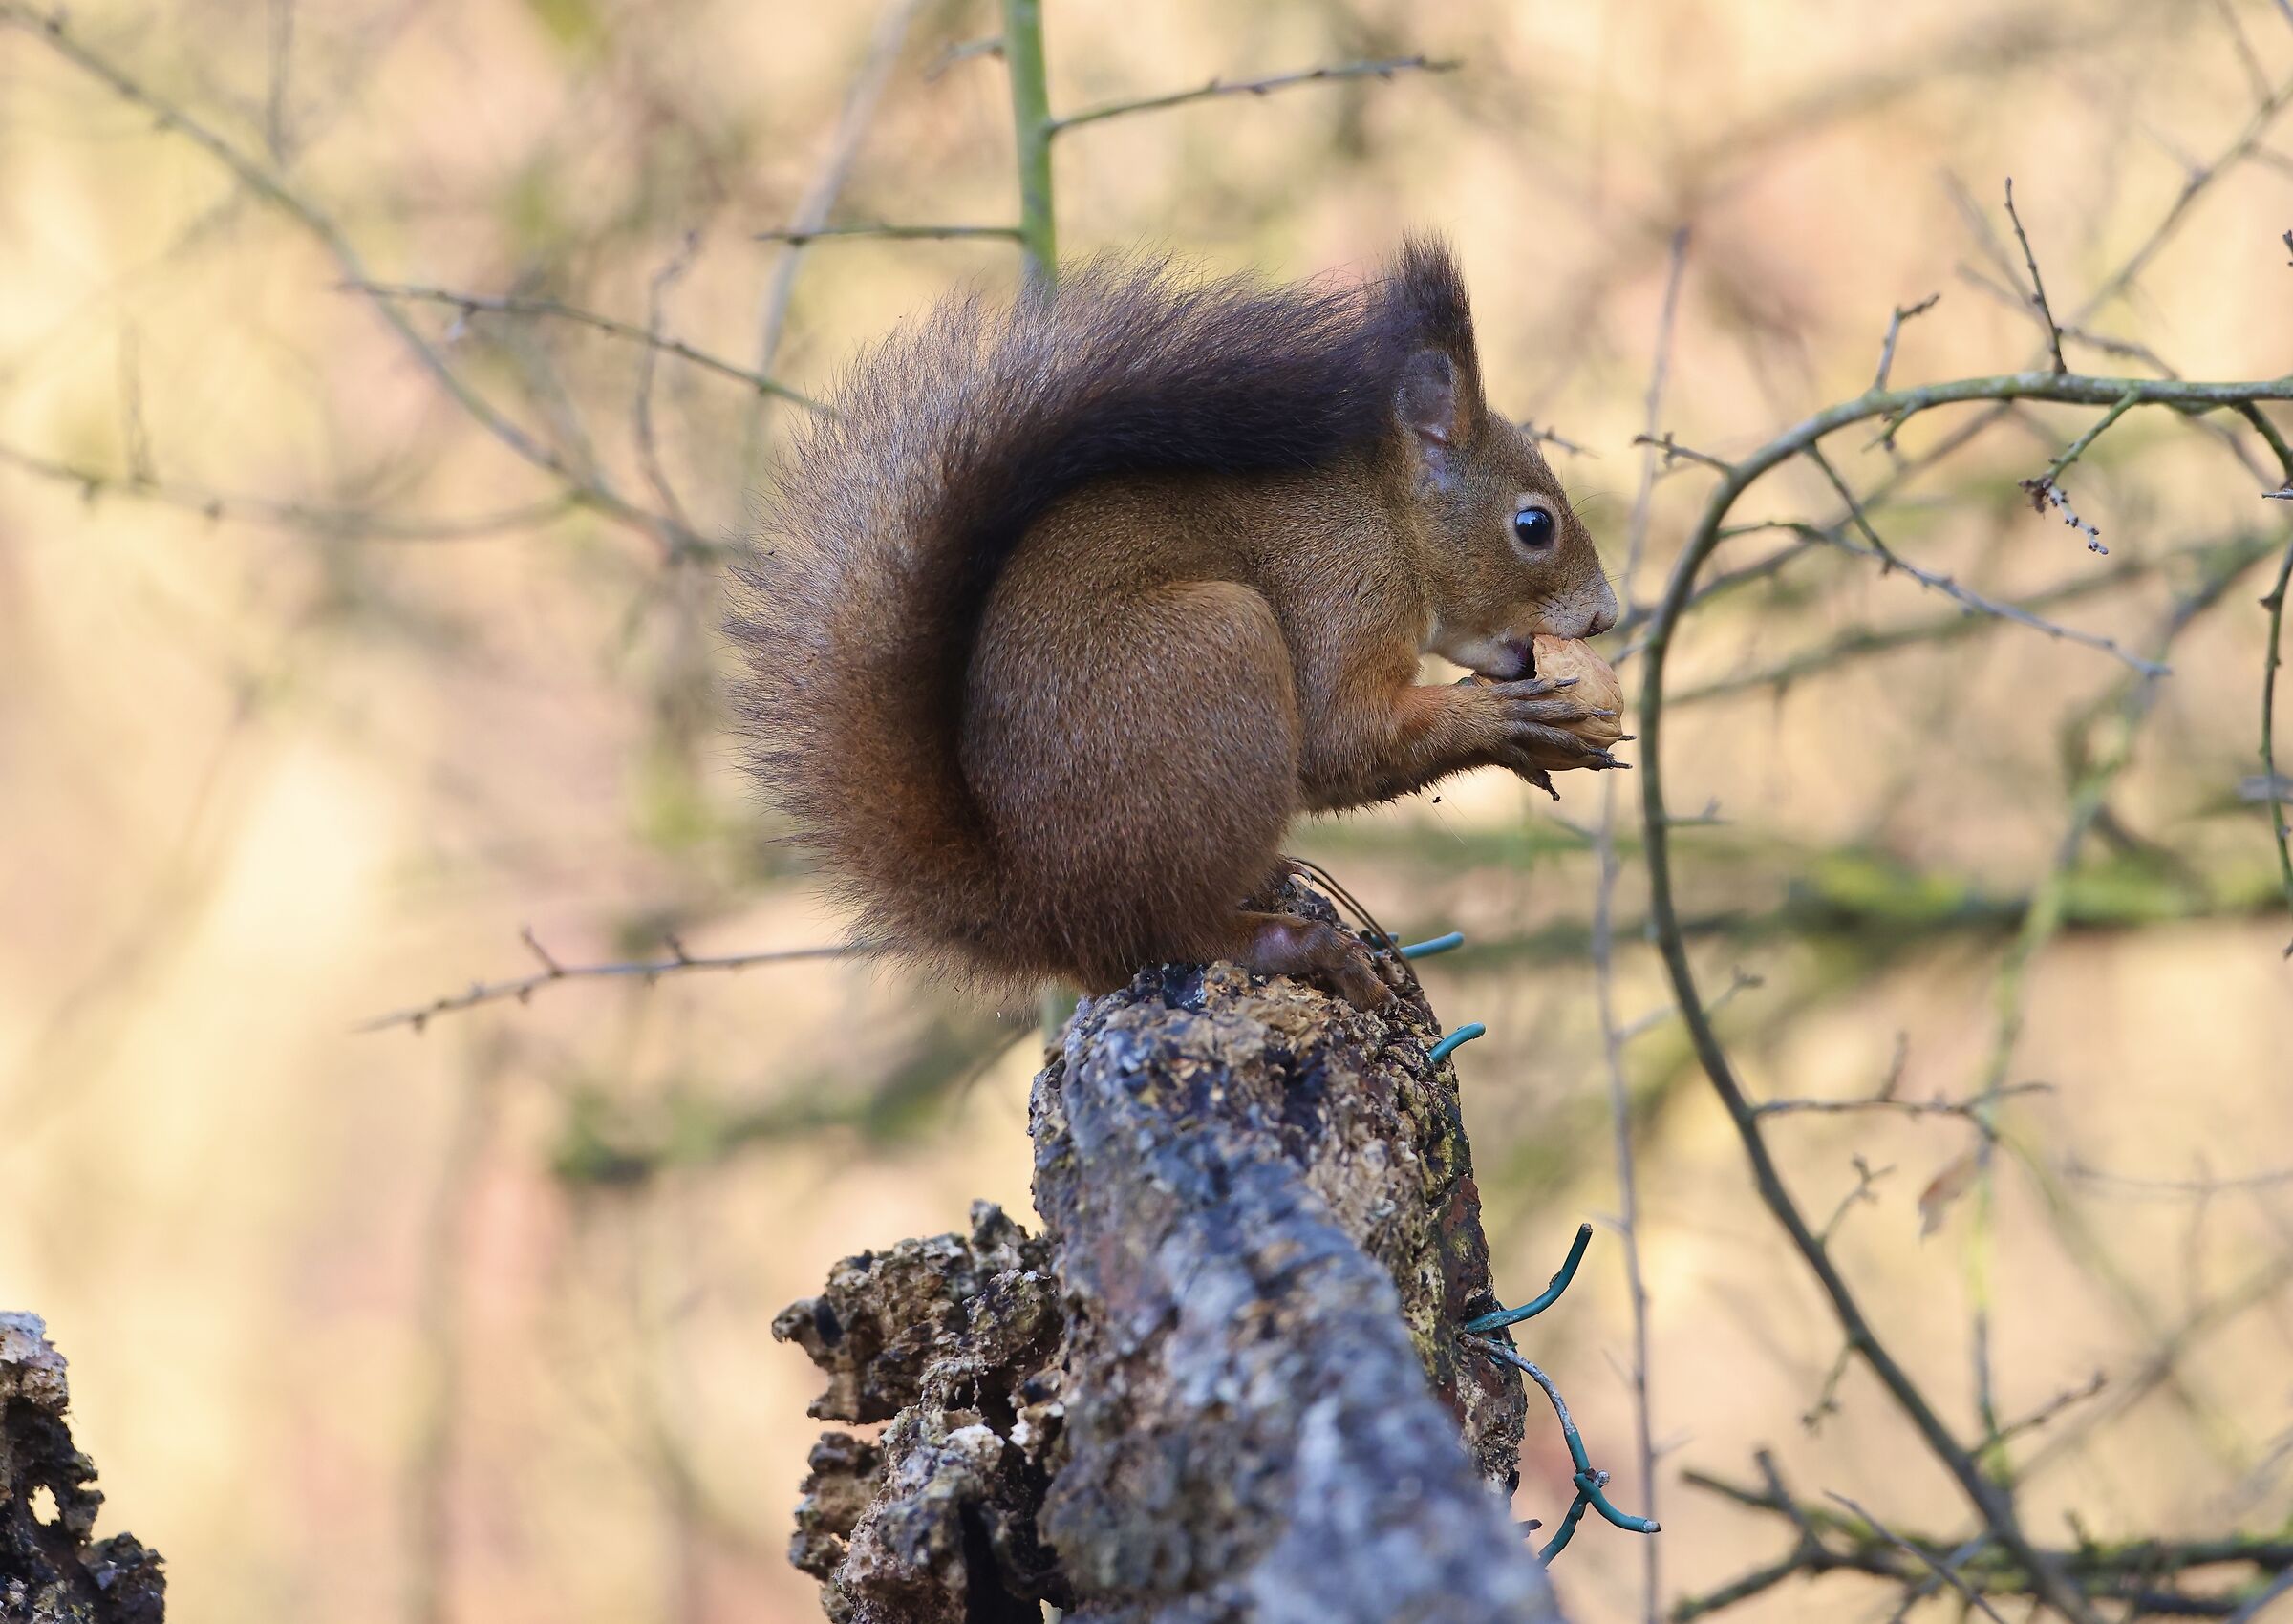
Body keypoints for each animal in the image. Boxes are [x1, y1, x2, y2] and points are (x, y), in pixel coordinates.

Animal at [731, 238, 1621, 1011]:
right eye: (1534, 526)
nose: (1608, 615)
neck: (1388, 523)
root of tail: (1043, 910)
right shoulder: (1341, 595)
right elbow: (1343, 736)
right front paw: (1507, 720)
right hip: (1220, 653)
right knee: (1173, 932)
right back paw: (1292, 943)